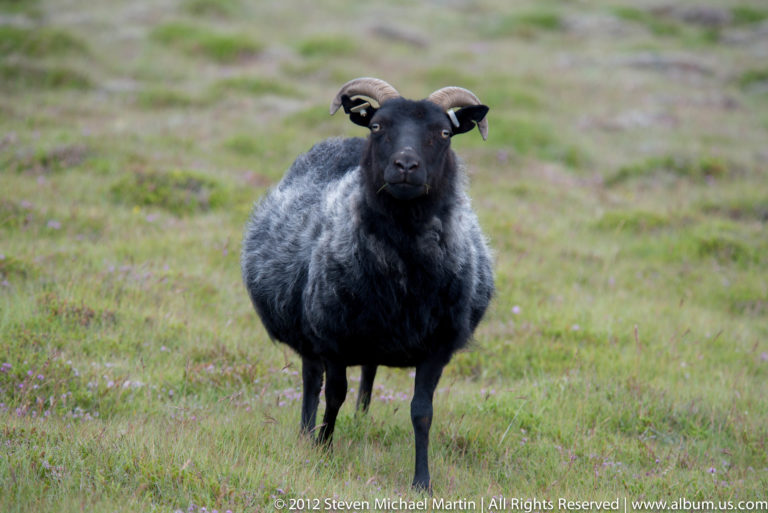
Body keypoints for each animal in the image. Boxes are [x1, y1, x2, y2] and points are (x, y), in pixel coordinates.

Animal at [241, 77, 494, 490]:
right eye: (377, 126)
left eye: (444, 133)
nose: (405, 165)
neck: (404, 271)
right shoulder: (332, 339)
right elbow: (333, 396)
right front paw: (322, 452)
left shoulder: (437, 348)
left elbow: (422, 412)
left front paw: (422, 482)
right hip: (312, 334)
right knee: (312, 383)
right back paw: (306, 435)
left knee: (369, 374)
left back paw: (361, 420)